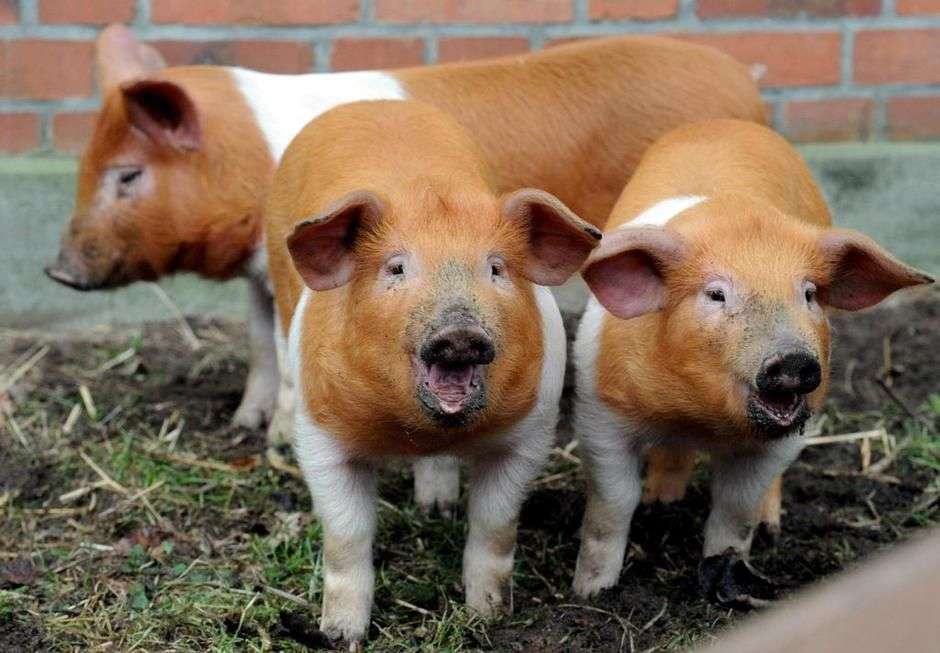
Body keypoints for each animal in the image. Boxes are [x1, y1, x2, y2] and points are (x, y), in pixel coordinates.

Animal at [46, 24, 765, 444]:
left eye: (129, 175)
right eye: (84, 167)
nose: (57, 270)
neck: (254, 159)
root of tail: (746, 88)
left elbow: (281, 346)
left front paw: (279, 438)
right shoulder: (261, 272)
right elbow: (257, 341)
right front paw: (244, 423)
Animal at [264, 99, 600, 645]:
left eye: (496, 268)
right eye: (397, 268)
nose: (459, 332)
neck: (418, 431)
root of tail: (369, 103)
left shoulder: (530, 434)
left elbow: (495, 527)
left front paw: (488, 616)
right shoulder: (321, 438)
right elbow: (347, 537)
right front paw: (340, 635)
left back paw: (436, 507)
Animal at [571, 119, 933, 607]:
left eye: (809, 293)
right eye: (715, 294)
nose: (793, 359)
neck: (700, 415)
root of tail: (730, 123)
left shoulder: (783, 436)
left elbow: (735, 509)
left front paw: (727, 574)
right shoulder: (600, 412)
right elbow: (612, 505)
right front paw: (590, 592)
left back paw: (768, 527)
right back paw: (661, 501)